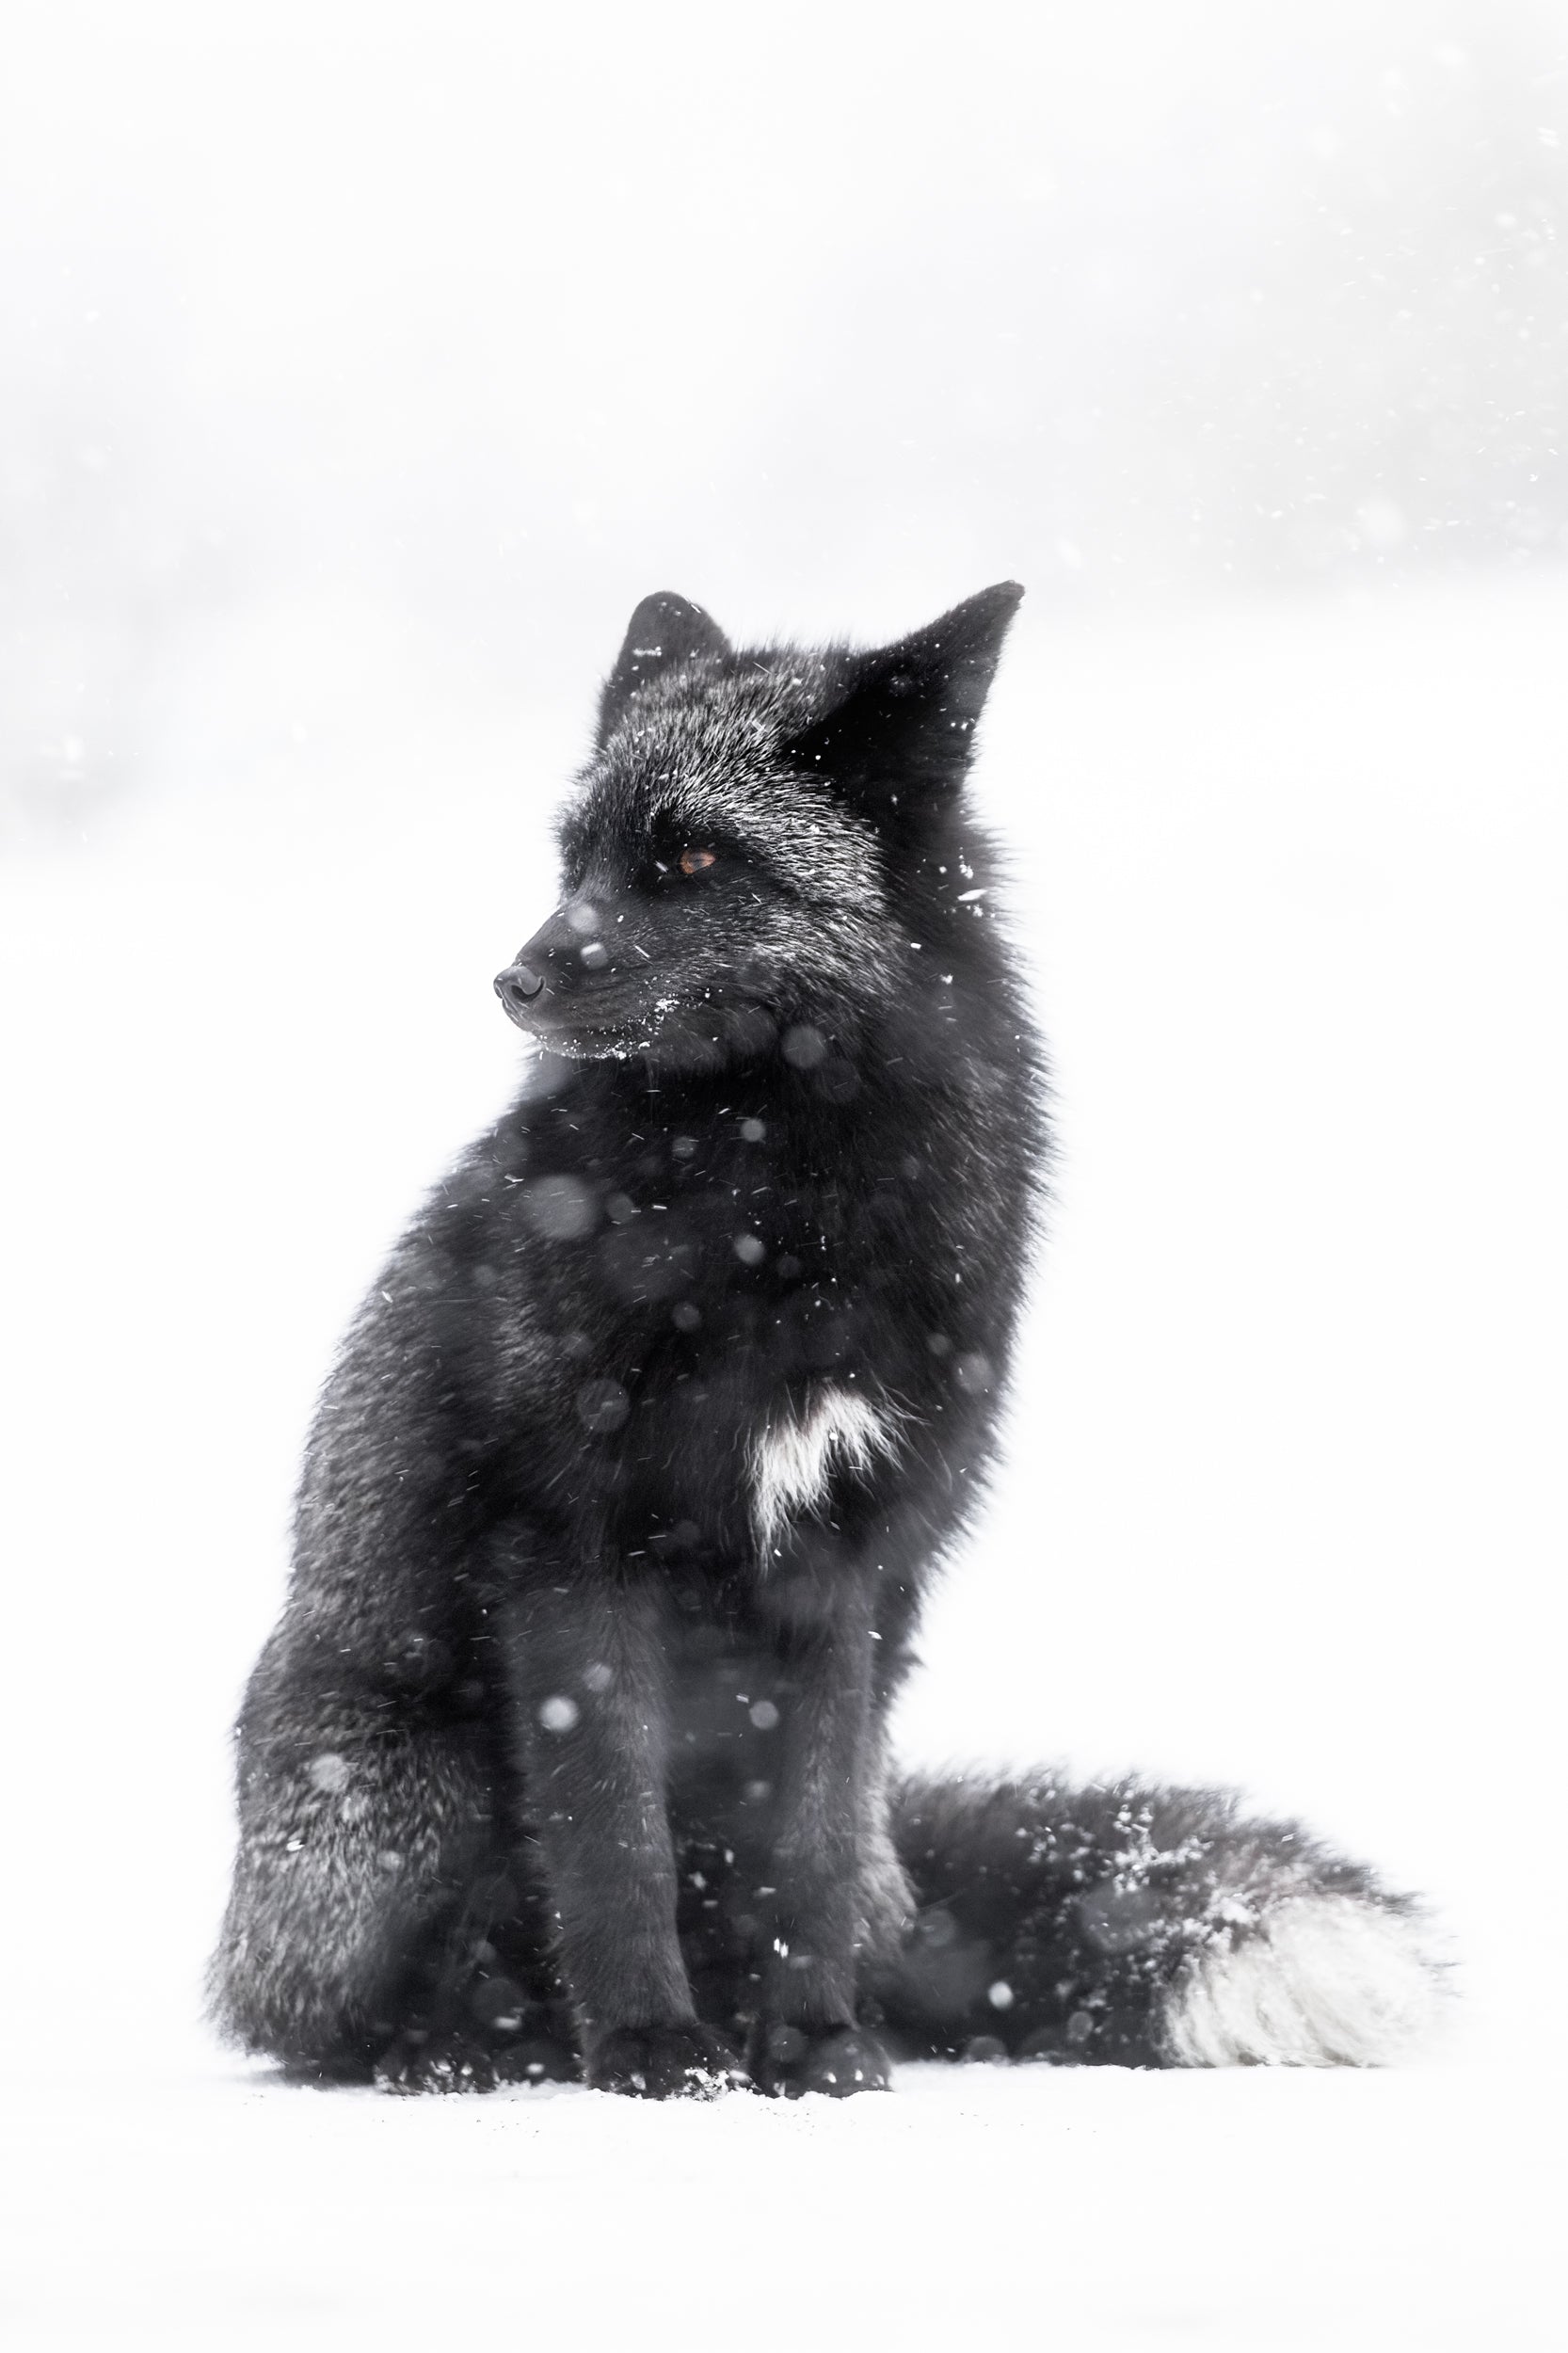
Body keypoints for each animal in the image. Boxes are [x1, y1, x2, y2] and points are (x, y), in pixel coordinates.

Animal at [211, 585, 1441, 2096]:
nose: (511, 978)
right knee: (326, 2019)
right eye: (575, 859)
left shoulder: (843, 1569)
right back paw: (474, 2048)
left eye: (689, 855)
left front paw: (807, 2051)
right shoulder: (571, 1552)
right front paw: (649, 2048)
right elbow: (608, 1841)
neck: (775, 1201)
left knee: (835, 1877)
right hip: (403, 1789)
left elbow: (799, 1848)